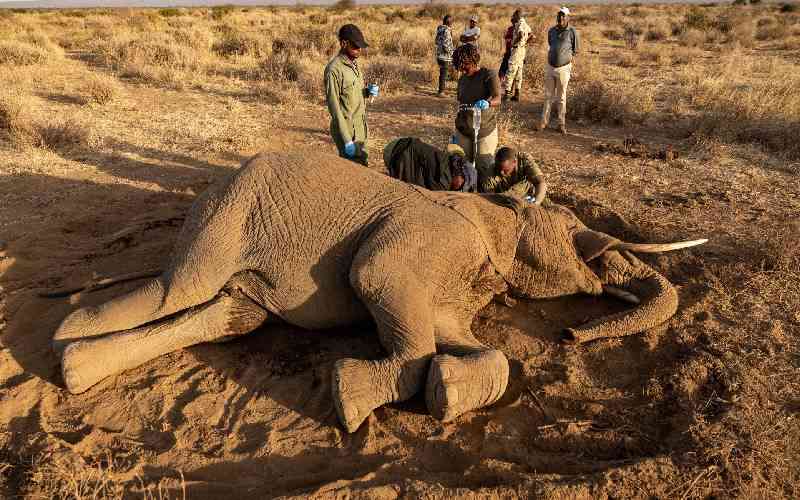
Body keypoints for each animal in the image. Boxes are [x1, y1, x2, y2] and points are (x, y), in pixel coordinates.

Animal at [53, 152, 706, 433]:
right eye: (575, 233)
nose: (571, 333)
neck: (491, 211)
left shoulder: (458, 280)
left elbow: (469, 344)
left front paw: (447, 390)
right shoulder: (425, 242)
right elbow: (376, 278)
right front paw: (350, 399)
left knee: (227, 316)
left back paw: (75, 369)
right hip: (227, 213)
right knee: (176, 289)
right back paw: (66, 332)